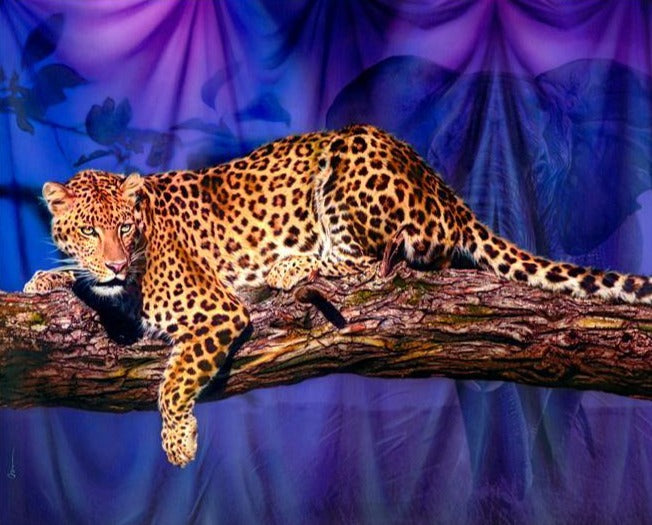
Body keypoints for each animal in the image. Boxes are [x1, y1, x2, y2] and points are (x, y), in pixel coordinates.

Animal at [24, 124, 652, 466]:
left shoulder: (216, 311)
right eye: (88, 230)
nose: (114, 261)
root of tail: (445, 189)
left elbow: (175, 380)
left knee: (372, 260)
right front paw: (45, 280)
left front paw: (178, 442)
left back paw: (288, 265)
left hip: (351, 161)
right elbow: (73, 281)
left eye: (126, 228)